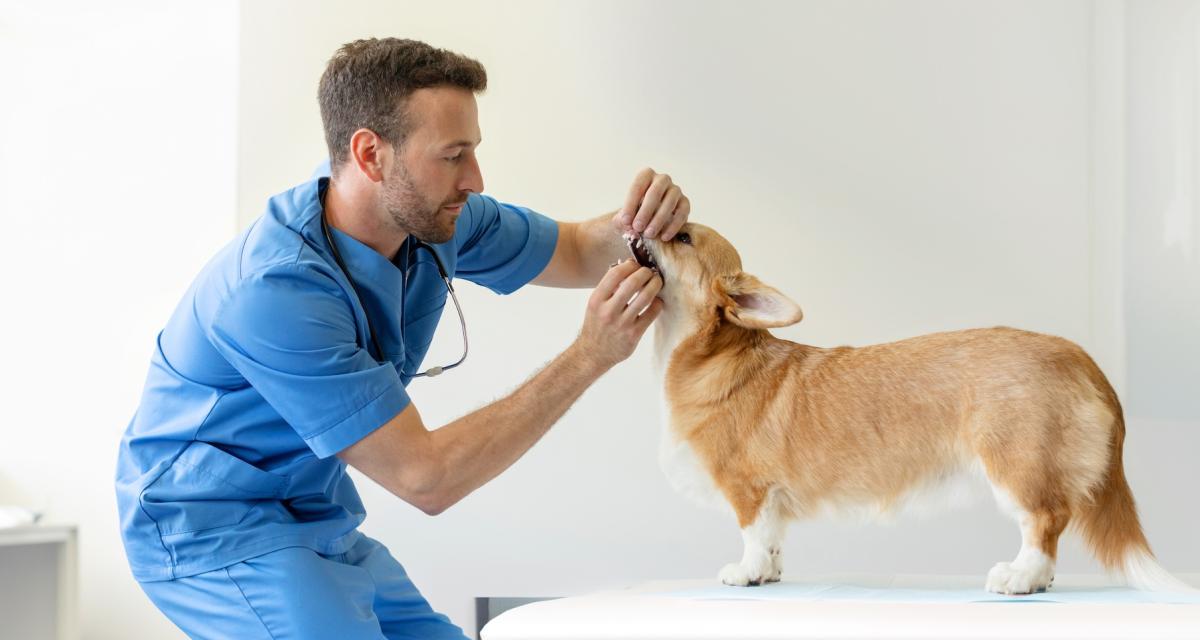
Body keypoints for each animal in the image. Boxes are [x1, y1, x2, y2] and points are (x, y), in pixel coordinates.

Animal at [628, 222, 1190, 590]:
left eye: (683, 237)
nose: (640, 220)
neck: (710, 353)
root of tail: (1080, 358)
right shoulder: (773, 500)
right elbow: (774, 541)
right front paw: (769, 572)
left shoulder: (749, 490)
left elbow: (752, 536)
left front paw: (746, 573)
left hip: (1017, 465)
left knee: (1045, 523)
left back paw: (1021, 577)